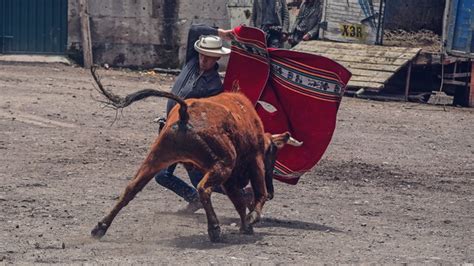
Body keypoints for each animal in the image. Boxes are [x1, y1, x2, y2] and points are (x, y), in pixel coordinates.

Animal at [90, 68, 300, 241]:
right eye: (273, 155)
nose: (273, 191)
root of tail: (185, 112)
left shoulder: (232, 178)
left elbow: (239, 201)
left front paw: (246, 225)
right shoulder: (254, 162)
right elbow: (257, 194)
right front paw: (252, 218)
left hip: (156, 158)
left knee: (131, 189)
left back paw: (100, 227)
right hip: (223, 164)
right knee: (203, 189)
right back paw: (214, 229)